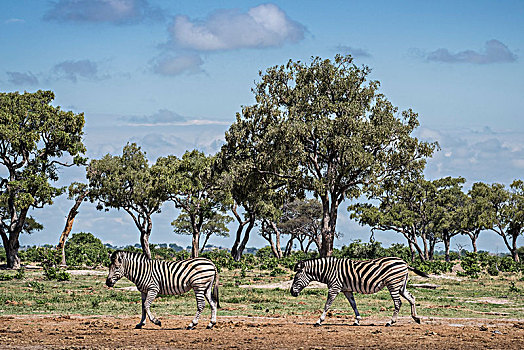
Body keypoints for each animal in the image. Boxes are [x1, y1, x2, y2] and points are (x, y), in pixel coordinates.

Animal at [288, 256, 428, 326]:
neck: (328, 270)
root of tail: (404, 262)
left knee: (398, 303)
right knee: (411, 298)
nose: (292, 293)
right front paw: (357, 320)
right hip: (401, 285)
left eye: (296, 278)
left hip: (393, 284)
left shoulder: (334, 287)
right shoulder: (346, 290)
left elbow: (327, 305)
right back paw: (416, 318)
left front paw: (319, 321)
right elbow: (353, 304)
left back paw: (390, 322)